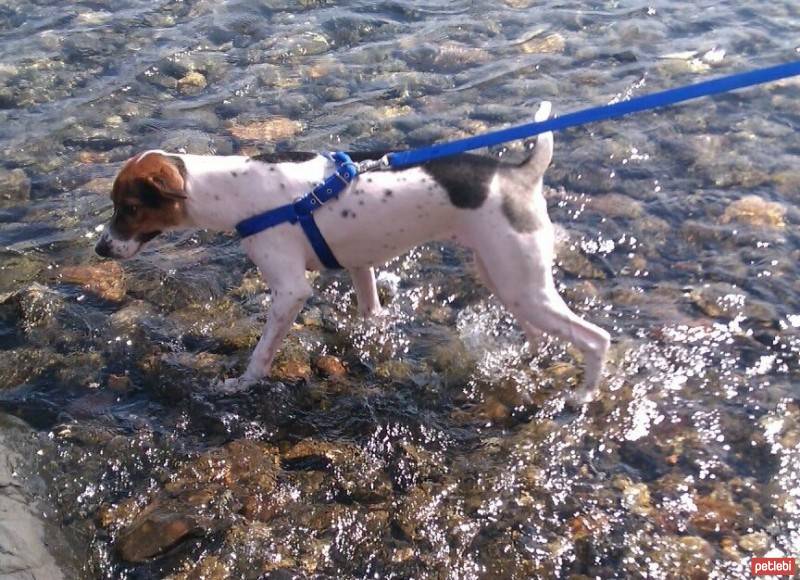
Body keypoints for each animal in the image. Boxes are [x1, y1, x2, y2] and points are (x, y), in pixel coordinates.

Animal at [97, 102, 608, 406]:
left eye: (129, 208)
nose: (101, 247)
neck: (233, 189)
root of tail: (519, 173)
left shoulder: (289, 292)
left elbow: (261, 354)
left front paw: (242, 384)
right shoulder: (360, 265)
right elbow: (370, 312)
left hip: (523, 283)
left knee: (596, 338)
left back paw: (583, 395)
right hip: (505, 278)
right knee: (538, 333)